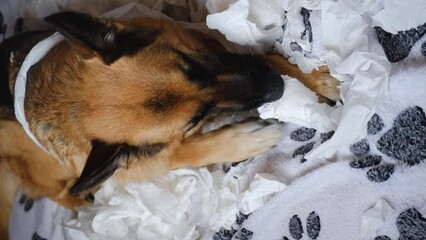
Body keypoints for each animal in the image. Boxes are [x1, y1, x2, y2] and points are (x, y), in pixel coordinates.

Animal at [0, 10, 340, 236]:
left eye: (193, 67)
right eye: (196, 119)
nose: (276, 88)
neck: (63, 101)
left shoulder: (204, 42)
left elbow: (257, 54)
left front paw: (308, 78)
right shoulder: (154, 158)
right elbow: (187, 152)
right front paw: (247, 138)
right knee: (60, 194)